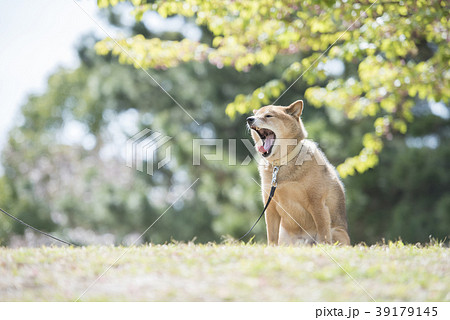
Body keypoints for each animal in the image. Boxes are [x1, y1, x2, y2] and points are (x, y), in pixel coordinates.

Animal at [248, 100, 350, 245]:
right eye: (255, 115)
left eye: (268, 116)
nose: (249, 119)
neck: (280, 164)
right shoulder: (270, 206)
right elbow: (271, 237)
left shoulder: (317, 203)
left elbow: (323, 234)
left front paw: (324, 247)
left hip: (337, 232)